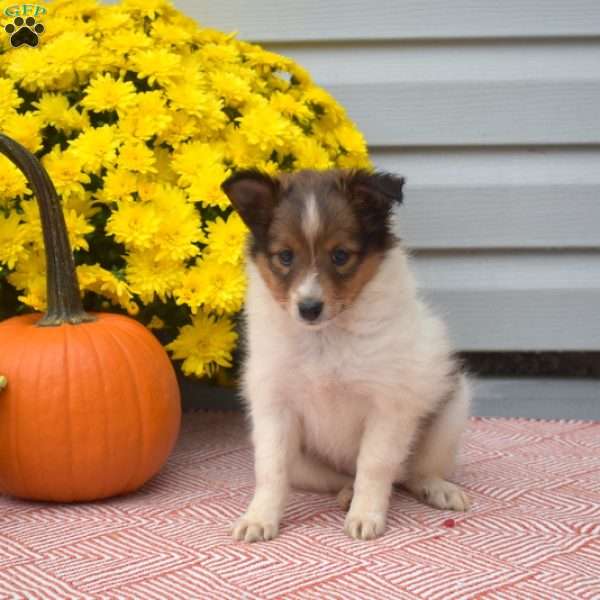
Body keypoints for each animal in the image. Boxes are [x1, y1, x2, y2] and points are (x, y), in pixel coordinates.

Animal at [223, 170, 472, 544]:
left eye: (340, 255)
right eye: (285, 256)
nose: (309, 308)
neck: (326, 336)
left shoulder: (388, 404)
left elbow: (374, 464)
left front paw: (366, 516)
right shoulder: (274, 405)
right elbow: (271, 469)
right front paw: (259, 517)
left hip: (451, 411)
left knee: (411, 472)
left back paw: (438, 489)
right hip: (307, 466)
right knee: (342, 478)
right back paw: (346, 493)